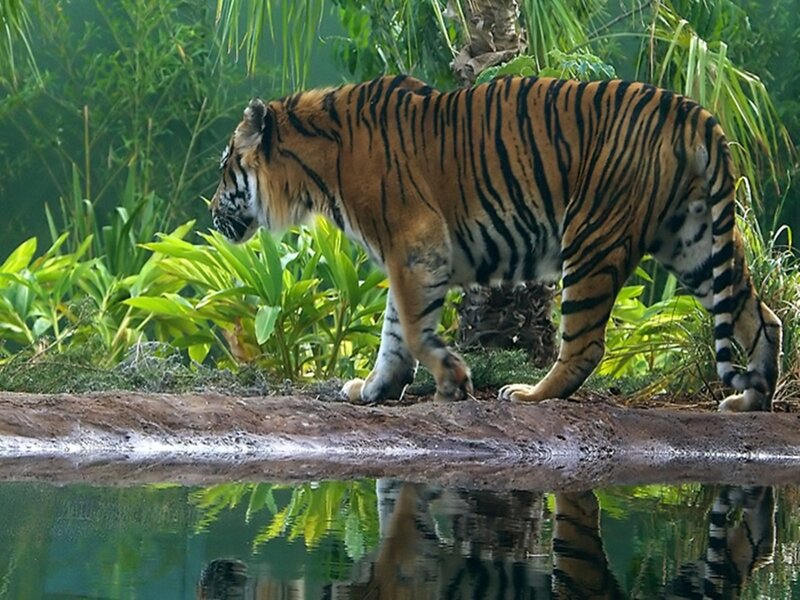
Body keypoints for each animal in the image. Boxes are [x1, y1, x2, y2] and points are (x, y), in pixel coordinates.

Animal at [210, 74, 782, 410]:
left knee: (585, 344)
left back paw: (529, 394)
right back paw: (751, 400)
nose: (212, 214)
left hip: (592, 236)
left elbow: (412, 329)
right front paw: (375, 388)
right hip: (692, 242)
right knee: (761, 316)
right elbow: (395, 332)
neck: (313, 169)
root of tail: (692, 110)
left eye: (224, 168)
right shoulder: (406, 253)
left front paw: (452, 381)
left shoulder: (416, 244)